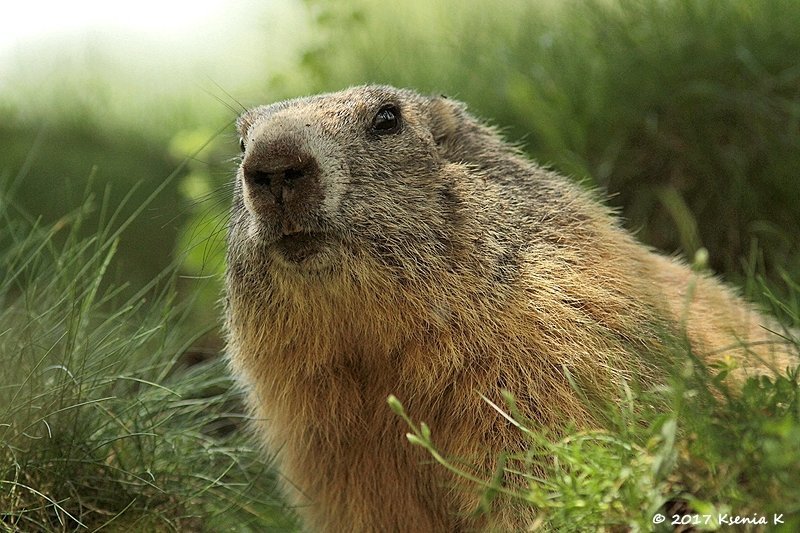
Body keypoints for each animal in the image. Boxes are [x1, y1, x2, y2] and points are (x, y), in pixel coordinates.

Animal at [224, 85, 795, 531]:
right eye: (241, 139)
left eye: (387, 118)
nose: (272, 162)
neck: (372, 344)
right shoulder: (325, 436)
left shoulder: (552, 334)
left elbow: (540, 451)